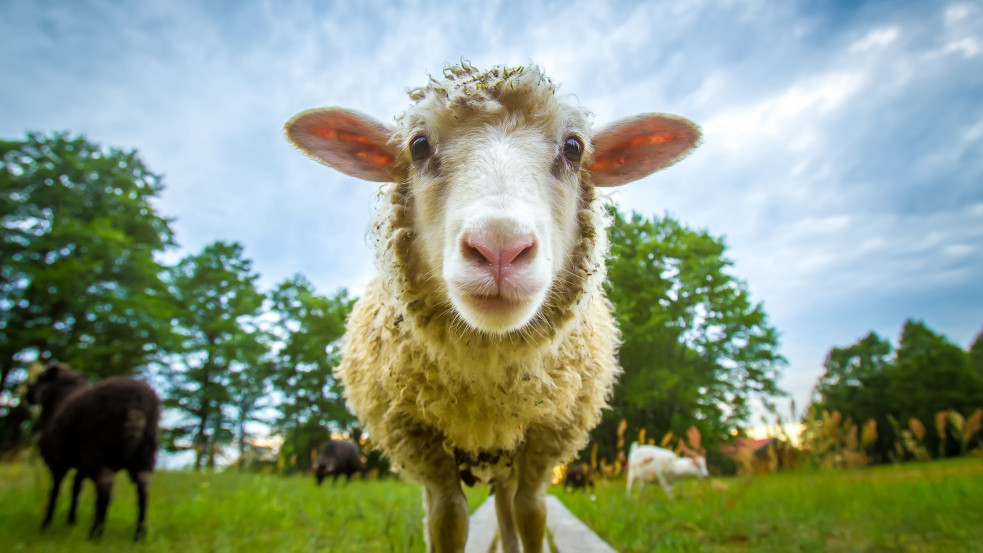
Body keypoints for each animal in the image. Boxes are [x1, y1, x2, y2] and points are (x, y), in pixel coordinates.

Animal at [26, 362, 161, 540]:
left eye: (40, 377)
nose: (27, 395)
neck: (58, 397)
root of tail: (136, 402)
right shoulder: (80, 465)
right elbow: (76, 489)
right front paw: (71, 522)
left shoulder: (57, 461)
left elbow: (55, 491)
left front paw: (46, 524)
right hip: (144, 454)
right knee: (143, 489)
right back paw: (139, 535)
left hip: (98, 449)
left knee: (105, 486)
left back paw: (96, 534)